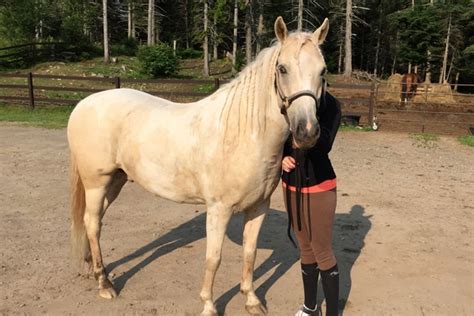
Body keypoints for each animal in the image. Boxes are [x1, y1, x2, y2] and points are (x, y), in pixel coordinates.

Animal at [67, 17, 330, 316]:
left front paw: (252, 300)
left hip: (115, 181)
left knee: (93, 221)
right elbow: (213, 258)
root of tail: (84, 103)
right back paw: (105, 284)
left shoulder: (258, 207)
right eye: (282, 68)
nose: (307, 132)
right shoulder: (218, 210)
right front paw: (208, 305)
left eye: (322, 71)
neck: (243, 134)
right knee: (92, 224)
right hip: (96, 183)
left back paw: (93, 269)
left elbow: (249, 253)